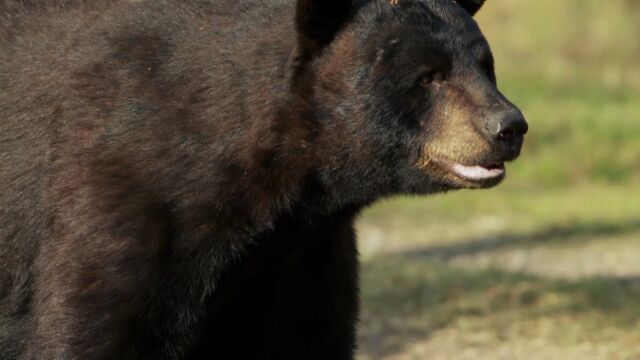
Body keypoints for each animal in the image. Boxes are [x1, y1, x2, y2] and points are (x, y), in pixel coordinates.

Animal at [1, 0, 524, 358]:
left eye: (485, 64)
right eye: (428, 76)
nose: (509, 127)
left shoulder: (298, 253)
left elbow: (305, 334)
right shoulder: (122, 196)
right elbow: (96, 328)